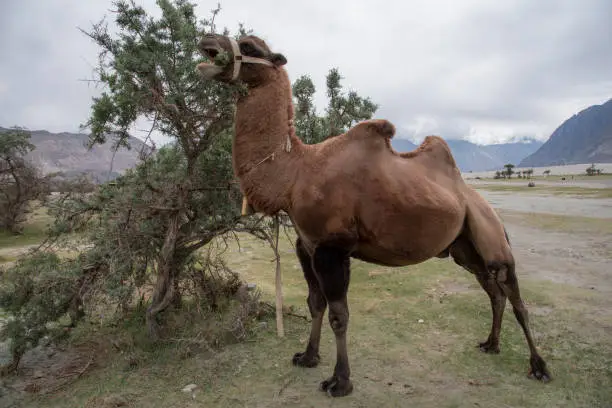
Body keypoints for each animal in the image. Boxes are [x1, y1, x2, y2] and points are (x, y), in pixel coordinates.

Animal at [198, 33, 552, 396]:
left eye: (249, 46)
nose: (208, 41)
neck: (295, 173)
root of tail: (481, 202)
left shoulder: (334, 246)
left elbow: (339, 315)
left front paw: (340, 381)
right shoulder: (306, 246)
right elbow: (315, 303)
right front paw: (307, 356)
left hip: (490, 235)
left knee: (515, 297)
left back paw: (539, 367)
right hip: (463, 247)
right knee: (494, 291)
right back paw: (491, 344)